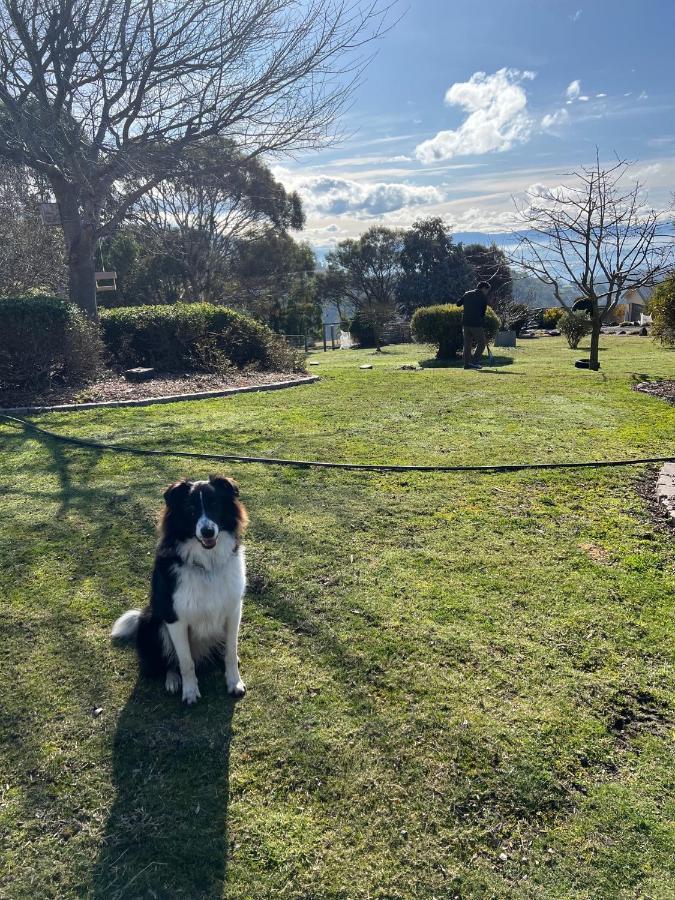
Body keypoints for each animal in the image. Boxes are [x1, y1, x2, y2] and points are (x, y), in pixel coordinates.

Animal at [112, 474, 250, 708]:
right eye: (190, 508)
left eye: (214, 504)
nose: (207, 531)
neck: (207, 565)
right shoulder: (174, 618)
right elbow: (185, 661)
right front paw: (190, 691)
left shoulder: (233, 610)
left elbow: (231, 652)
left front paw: (234, 682)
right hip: (153, 622)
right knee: (169, 662)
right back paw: (172, 680)